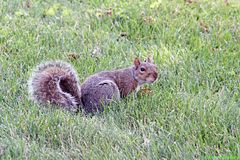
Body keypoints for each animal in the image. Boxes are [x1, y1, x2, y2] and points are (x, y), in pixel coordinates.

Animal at [28, 57, 158, 113]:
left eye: (155, 66)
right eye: (142, 69)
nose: (156, 76)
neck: (133, 75)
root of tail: (85, 107)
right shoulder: (127, 86)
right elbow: (128, 97)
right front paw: (134, 103)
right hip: (108, 89)